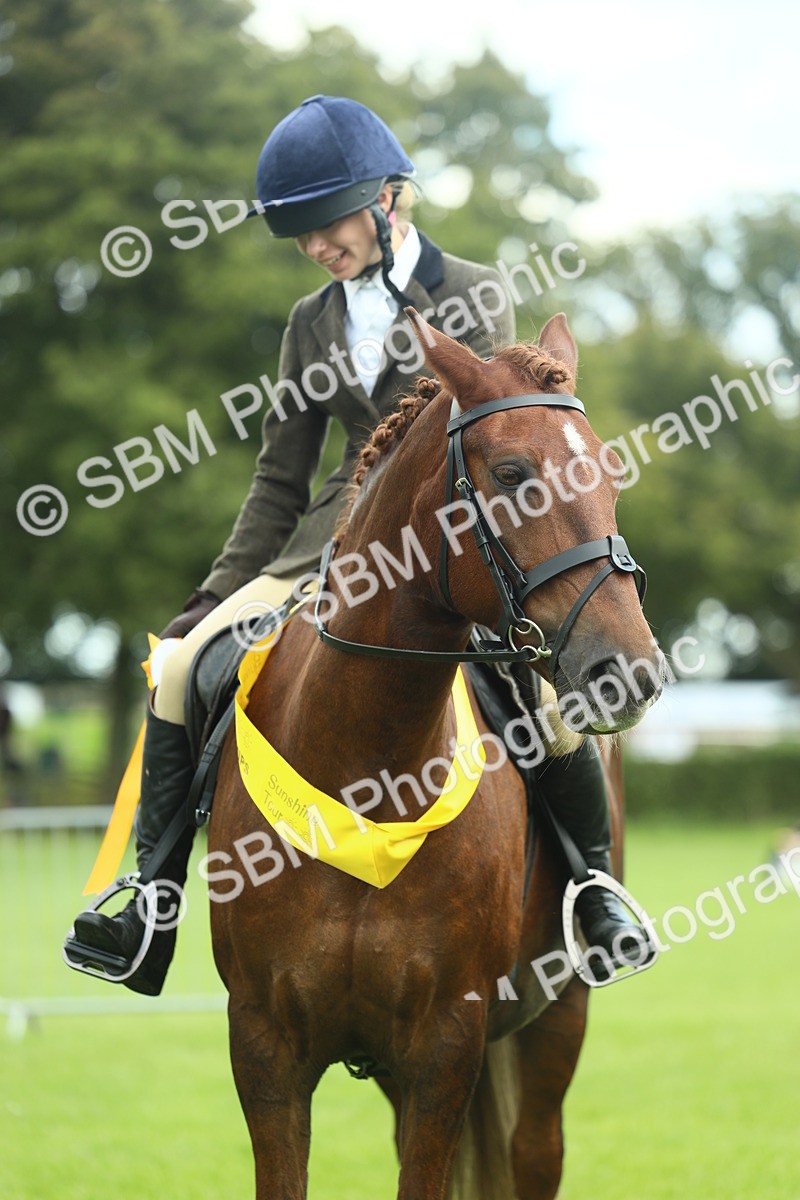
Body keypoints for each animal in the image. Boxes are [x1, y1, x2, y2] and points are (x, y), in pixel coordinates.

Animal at [207, 309, 663, 1200]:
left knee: (535, 1152)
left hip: (556, 1020)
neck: (367, 773)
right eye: (515, 473)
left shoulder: (447, 1042)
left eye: (610, 475)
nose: (629, 672)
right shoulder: (266, 1047)